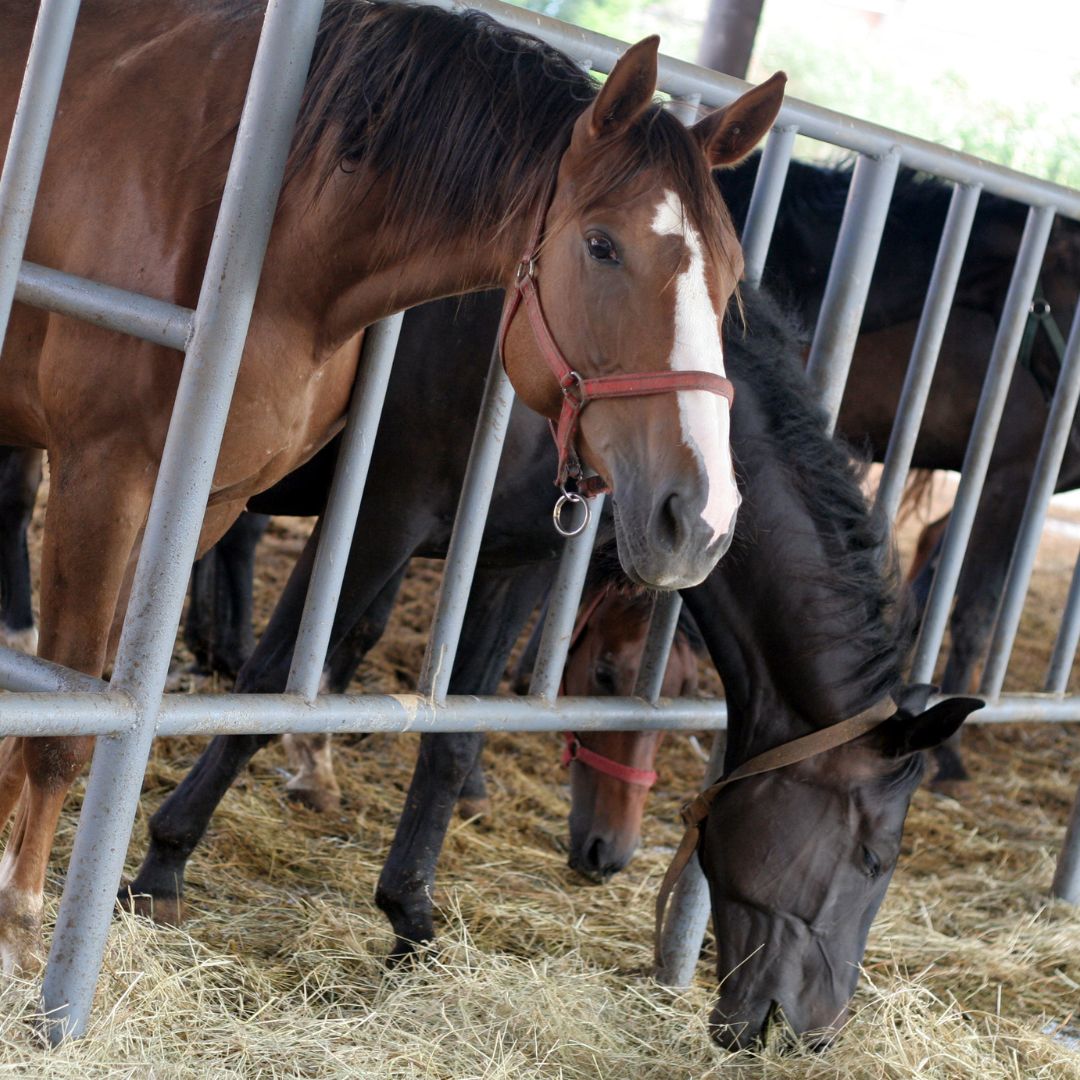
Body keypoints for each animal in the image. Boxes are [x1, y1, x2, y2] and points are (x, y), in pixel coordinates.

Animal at [0, 0, 786, 972]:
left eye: (730, 278)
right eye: (603, 246)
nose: (701, 516)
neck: (253, 224)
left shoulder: (209, 499)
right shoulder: (113, 476)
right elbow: (76, 722)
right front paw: (28, 925)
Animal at [122, 283, 981, 1047]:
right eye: (874, 857)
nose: (815, 1033)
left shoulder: (515, 560)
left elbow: (454, 734)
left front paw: (410, 921)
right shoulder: (376, 518)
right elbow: (273, 687)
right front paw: (162, 868)